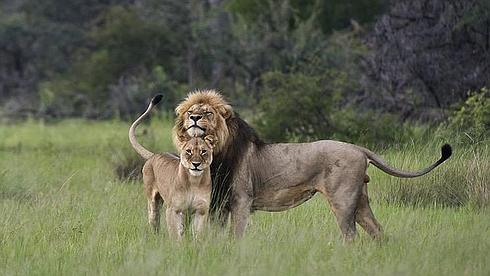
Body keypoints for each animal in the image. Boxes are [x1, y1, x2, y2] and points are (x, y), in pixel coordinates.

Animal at [130, 94, 216, 239]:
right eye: (189, 151)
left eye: (204, 151)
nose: (196, 164)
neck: (194, 181)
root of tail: (154, 155)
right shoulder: (173, 210)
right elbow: (176, 235)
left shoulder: (201, 210)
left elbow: (197, 235)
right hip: (153, 202)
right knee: (154, 221)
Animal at [174, 89, 454, 240]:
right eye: (190, 112)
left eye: (208, 113)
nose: (194, 117)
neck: (215, 151)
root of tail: (359, 148)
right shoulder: (219, 203)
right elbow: (215, 233)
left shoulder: (241, 200)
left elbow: (236, 235)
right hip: (360, 201)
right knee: (377, 230)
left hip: (342, 199)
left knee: (351, 235)